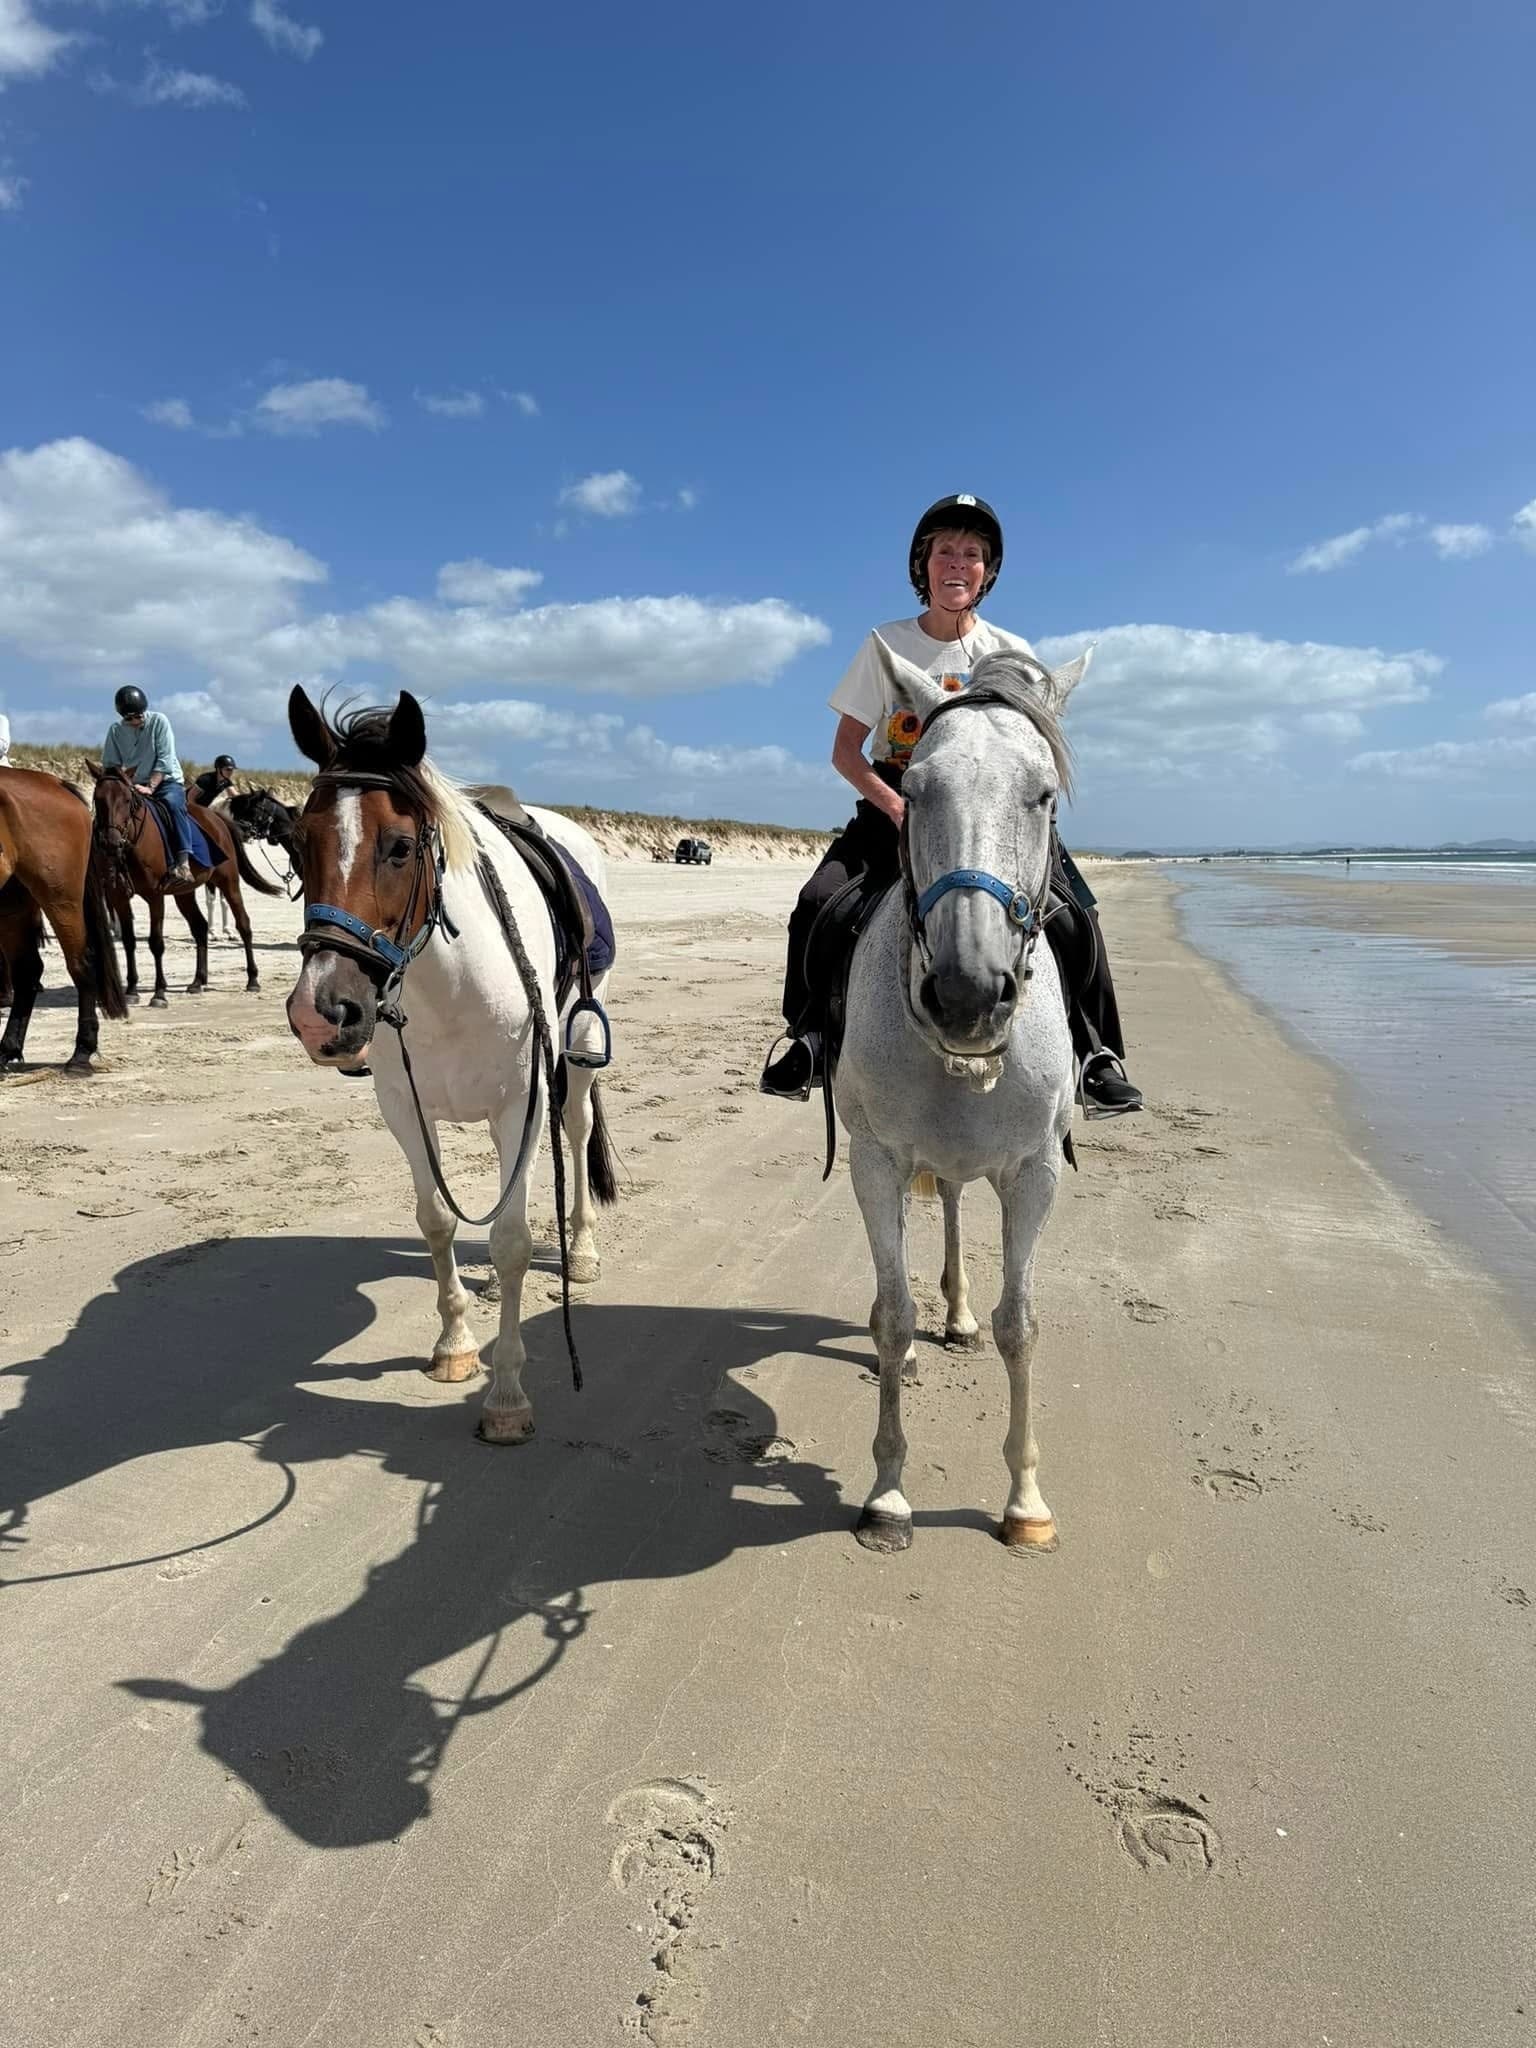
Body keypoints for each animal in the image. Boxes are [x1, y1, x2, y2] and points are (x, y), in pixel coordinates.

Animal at [0, 767, 128, 1073]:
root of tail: (55, 781)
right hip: (11, 904)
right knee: (26, 971)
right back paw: (7, 1049)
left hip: (60, 897)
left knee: (83, 963)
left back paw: (82, 1051)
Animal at [89, 766, 283, 1005]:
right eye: (98, 799)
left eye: (126, 799)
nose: (110, 842)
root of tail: (218, 820)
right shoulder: (119, 897)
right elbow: (128, 941)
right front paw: (132, 990)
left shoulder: (155, 896)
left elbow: (156, 942)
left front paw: (159, 993)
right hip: (184, 893)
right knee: (199, 927)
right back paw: (198, 981)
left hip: (228, 883)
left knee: (244, 924)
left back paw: (252, 979)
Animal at [283, 686, 618, 1443]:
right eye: (297, 842)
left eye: (400, 847)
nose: (322, 1013)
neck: (449, 981)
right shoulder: (404, 1110)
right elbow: (437, 1222)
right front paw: (456, 1346)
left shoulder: (521, 1105)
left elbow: (514, 1238)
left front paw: (508, 1396)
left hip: (578, 1052)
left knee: (578, 1130)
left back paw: (582, 1251)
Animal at [834, 637, 1091, 1556]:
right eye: (912, 790)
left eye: (1042, 793)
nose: (967, 994)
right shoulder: (874, 1160)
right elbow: (889, 1315)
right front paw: (887, 1495)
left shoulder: (1035, 1171)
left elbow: (1023, 1326)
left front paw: (1026, 1502)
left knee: (948, 1206)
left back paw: (961, 1316)